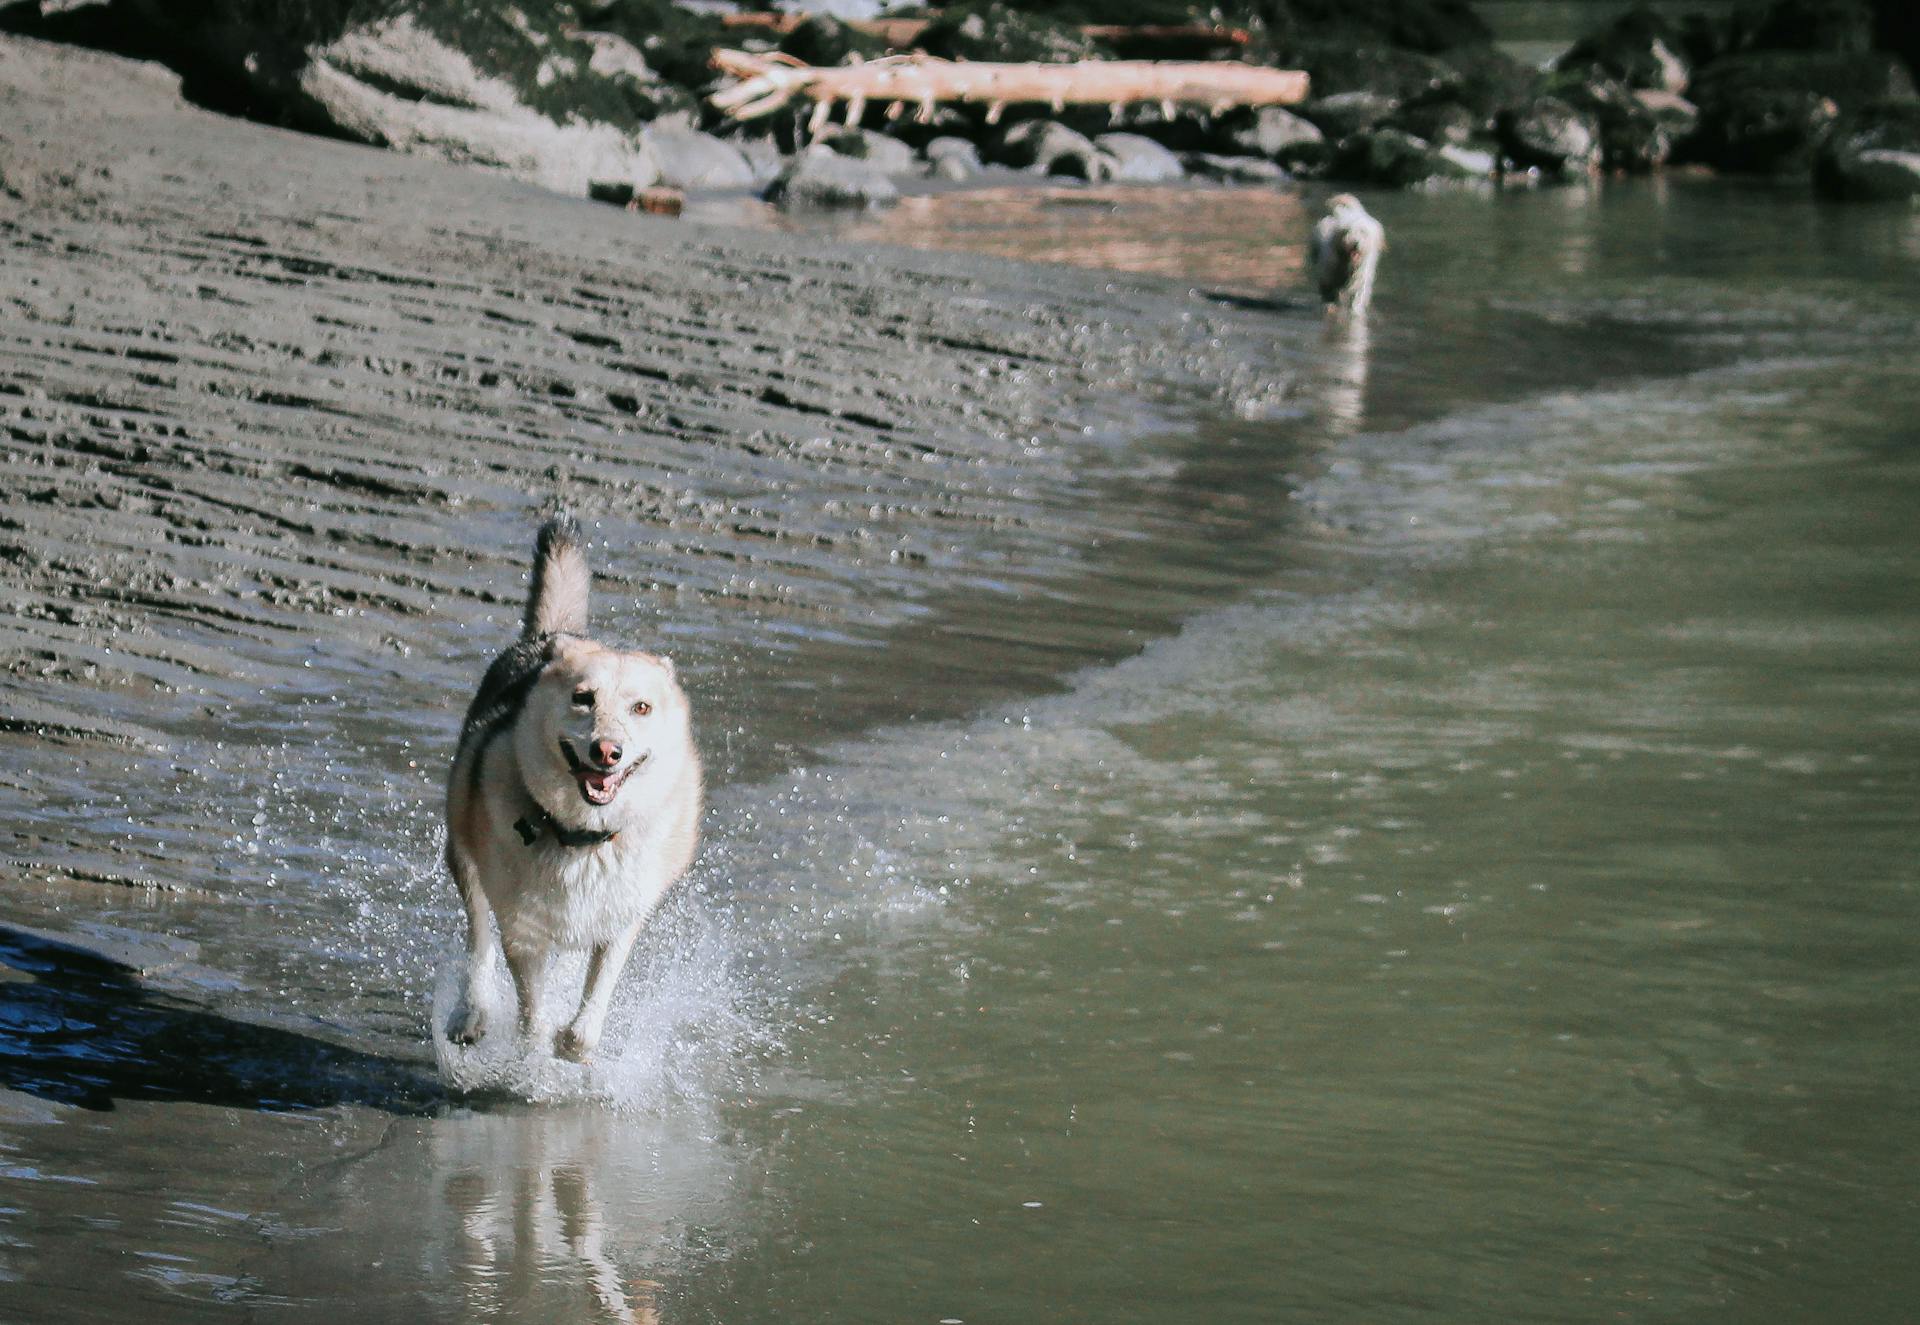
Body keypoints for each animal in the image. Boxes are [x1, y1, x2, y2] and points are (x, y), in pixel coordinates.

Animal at [439, 514, 698, 1060]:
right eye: (583, 698)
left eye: (641, 707)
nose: (607, 751)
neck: (583, 837)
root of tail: (553, 635)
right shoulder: (523, 928)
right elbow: (530, 1005)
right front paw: (533, 1046)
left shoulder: (623, 917)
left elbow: (592, 1005)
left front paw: (572, 1042)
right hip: (463, 850)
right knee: (478, 937)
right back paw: (470, 1013)